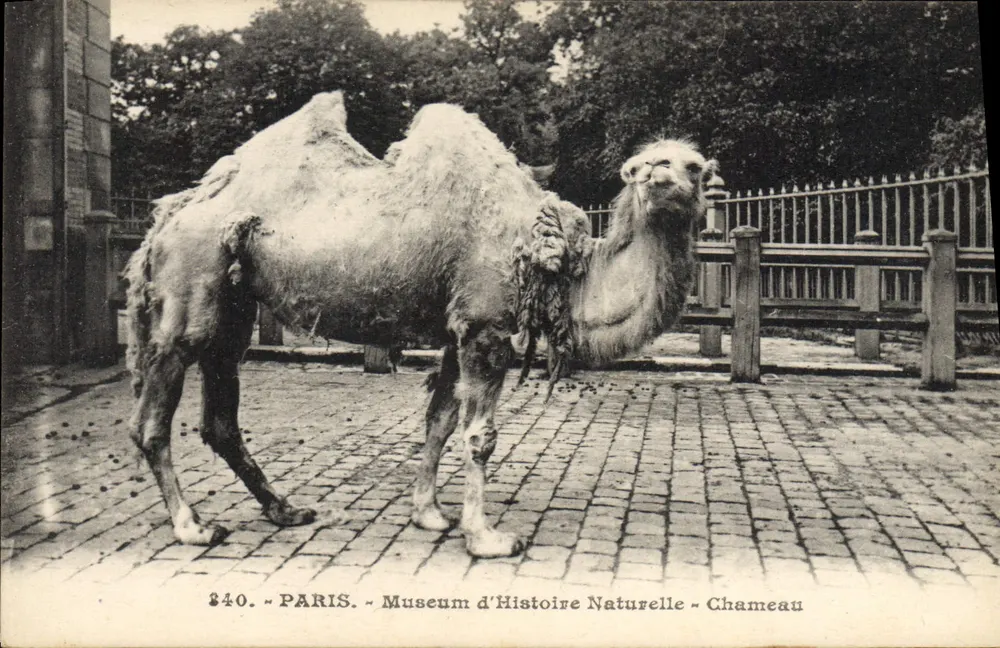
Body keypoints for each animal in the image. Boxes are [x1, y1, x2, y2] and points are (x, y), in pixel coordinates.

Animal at [125, 91, 717, 558]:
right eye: (642, 166)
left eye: (695, 167)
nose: (659, 176)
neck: (554, 262)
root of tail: (166, 219)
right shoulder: (485, 325)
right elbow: (480, 435)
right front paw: (486, 538)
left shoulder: (458, 330)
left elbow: (440, 420)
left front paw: (430, 514)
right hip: (191, 282)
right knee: (152, 419)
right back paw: (193, 526)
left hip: (233, 305)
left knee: (220, 414)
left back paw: (285, 510)